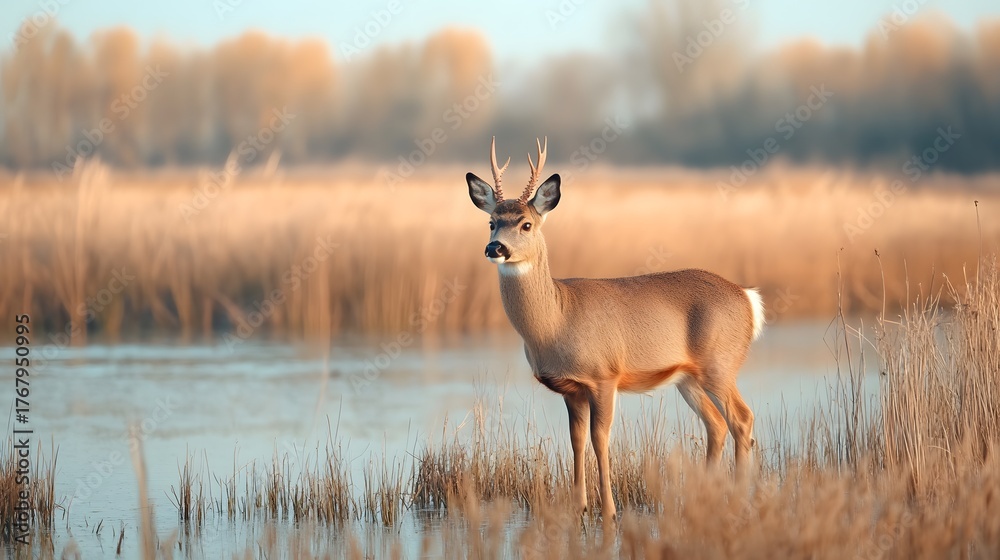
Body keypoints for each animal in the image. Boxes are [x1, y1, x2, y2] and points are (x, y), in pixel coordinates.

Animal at [465, 137, 765, 521]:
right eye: (491, 222)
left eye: (526, 224)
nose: (495, 248)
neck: (556, 320)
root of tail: (747, 297)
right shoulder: (572, 389)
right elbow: (576, 440)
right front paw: (578, 506)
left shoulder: (604, 376)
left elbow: (600, 439)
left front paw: (608, 510)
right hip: (688, 377)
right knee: (716, 424)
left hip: (720, 364)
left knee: (742, 419)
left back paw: (739, 499)